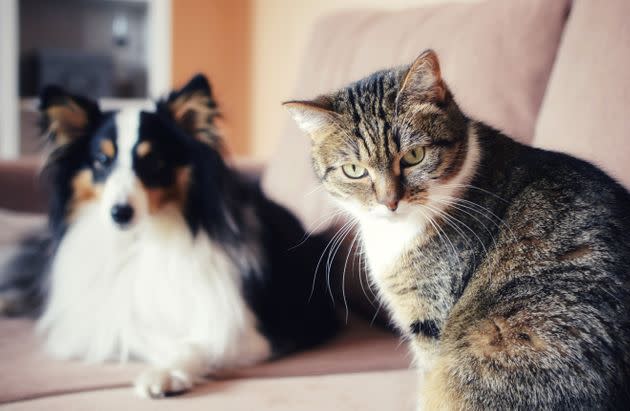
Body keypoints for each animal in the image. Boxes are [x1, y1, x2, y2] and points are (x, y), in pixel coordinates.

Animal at [0, 75, 338, 400]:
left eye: (152, 161)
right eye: (101, 160)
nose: (120, 213)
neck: (142, 239)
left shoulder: (254, 331)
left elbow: (200, 343)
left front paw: (163, 374)